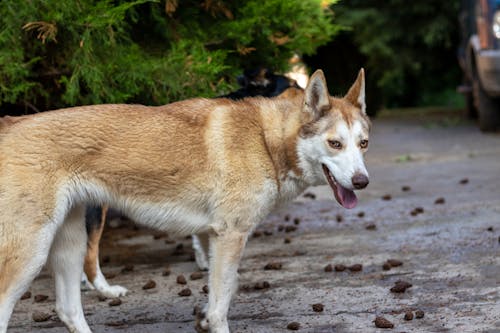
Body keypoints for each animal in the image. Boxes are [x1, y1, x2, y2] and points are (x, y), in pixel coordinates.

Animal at [0, 68, 368, 330]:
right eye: (335, 143)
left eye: (363, 143)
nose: (362, 181)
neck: (264, 137)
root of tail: (9, 123)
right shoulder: (230, 236)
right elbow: (220, 309)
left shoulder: (212, 238)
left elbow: (220, 293)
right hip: (32, 254)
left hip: (70, 246)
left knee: (68, 310)